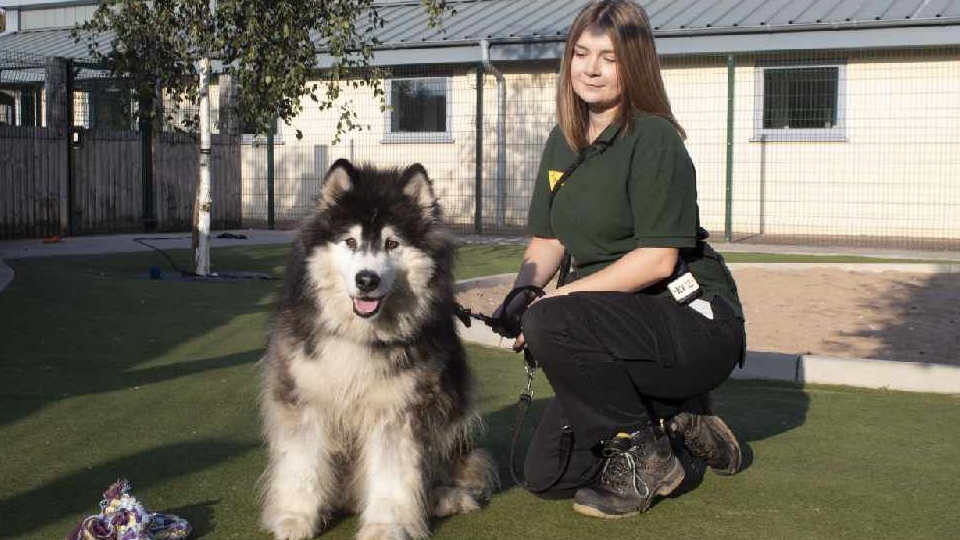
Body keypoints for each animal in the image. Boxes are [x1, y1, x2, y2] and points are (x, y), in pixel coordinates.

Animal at [258, 157, 498, 540]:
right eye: (350, 241)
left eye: (392, 243)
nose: (366, 280)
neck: (360, 334)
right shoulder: (306, 399)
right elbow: (302, 462)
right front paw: (297, 516)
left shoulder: (396, 411)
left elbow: (392, 474)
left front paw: (387, 526)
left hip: (453, 426)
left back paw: (444, 498)